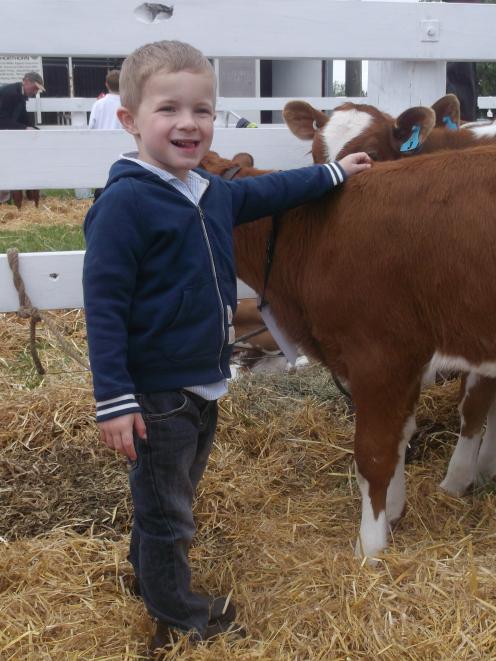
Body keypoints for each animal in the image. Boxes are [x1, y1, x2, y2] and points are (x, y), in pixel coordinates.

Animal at [202, 147, 496, 560]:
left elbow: (373, 455)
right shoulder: (405, 360)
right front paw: (393, 512)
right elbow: (400, 436)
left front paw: (369, 548)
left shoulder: (379, 355)